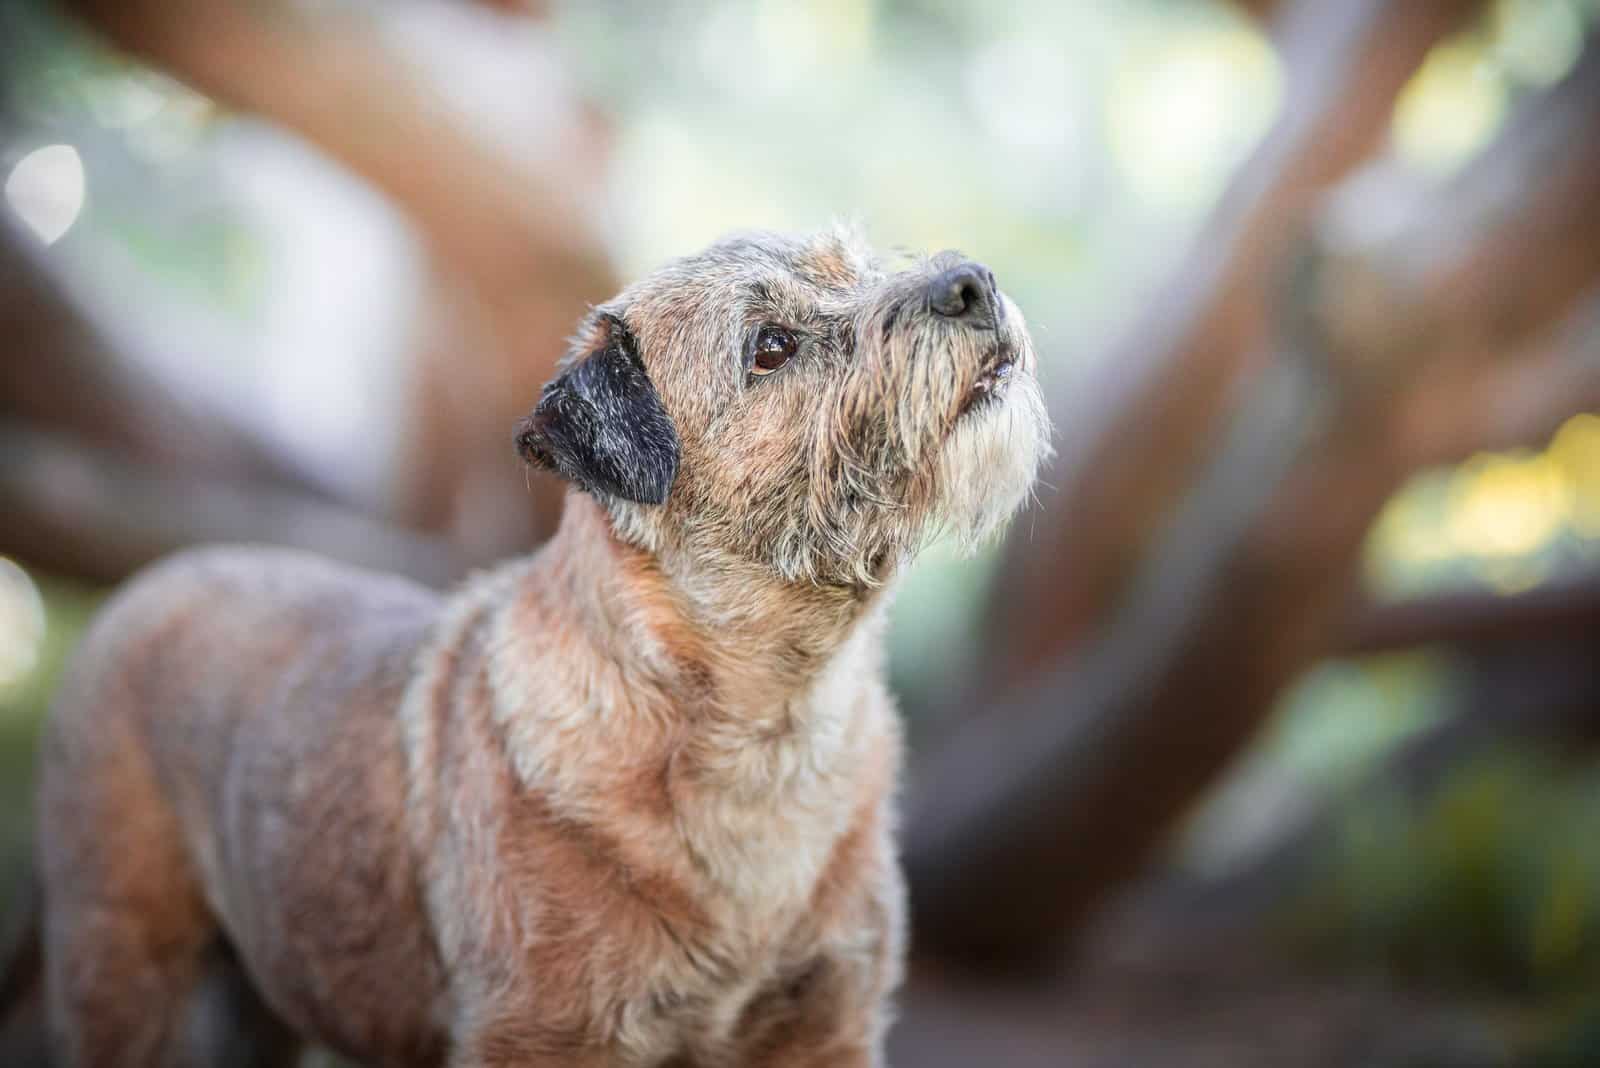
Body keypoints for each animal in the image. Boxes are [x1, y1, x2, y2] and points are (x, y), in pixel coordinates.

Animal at [9, 223, 1049, 1061]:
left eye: (859, 267)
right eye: (772, 347)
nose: (971, 281)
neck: (764, 729)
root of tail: (155, 579)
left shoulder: (825, 1030)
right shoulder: (544, 1037)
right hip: (123, 967)